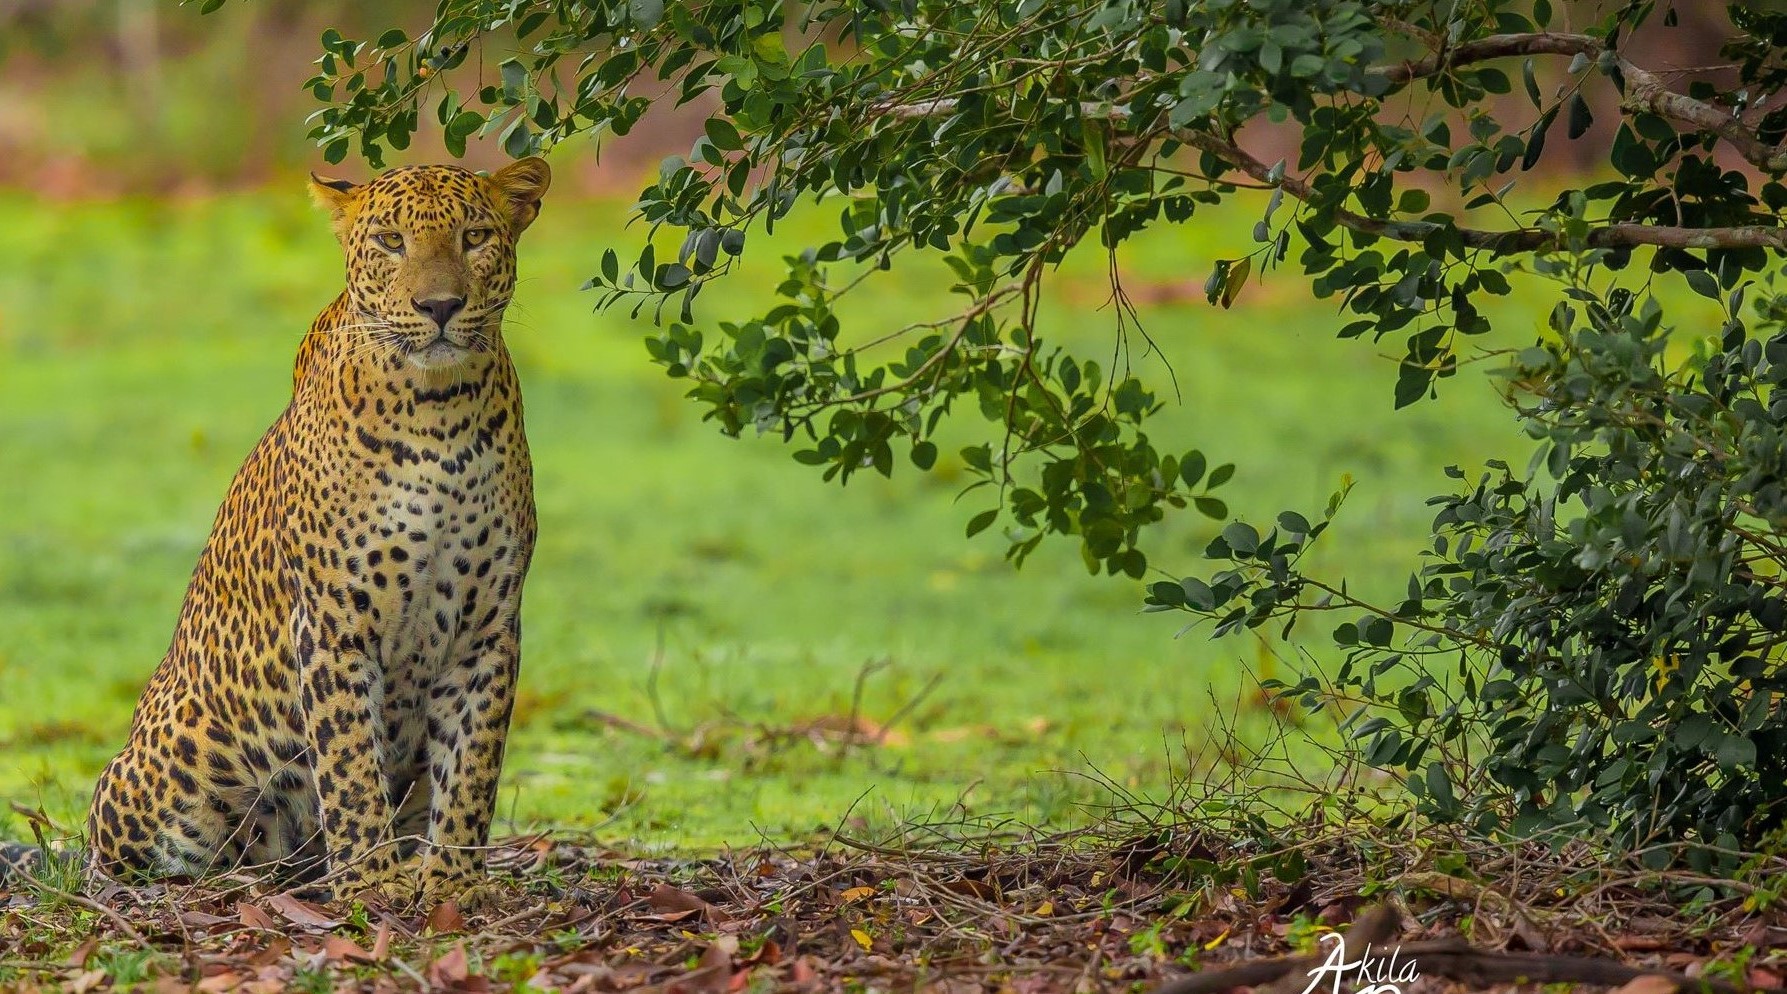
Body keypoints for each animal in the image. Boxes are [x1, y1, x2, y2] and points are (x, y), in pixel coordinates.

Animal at [2, 157, 551, 906]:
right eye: (390, 241)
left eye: (474, 238)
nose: (439, 306)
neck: (439, 408)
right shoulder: (333, 622)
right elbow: (350, 766)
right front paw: (371, 882)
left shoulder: (487, 627)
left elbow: (472, 767)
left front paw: (452, 884)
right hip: (183, 760)